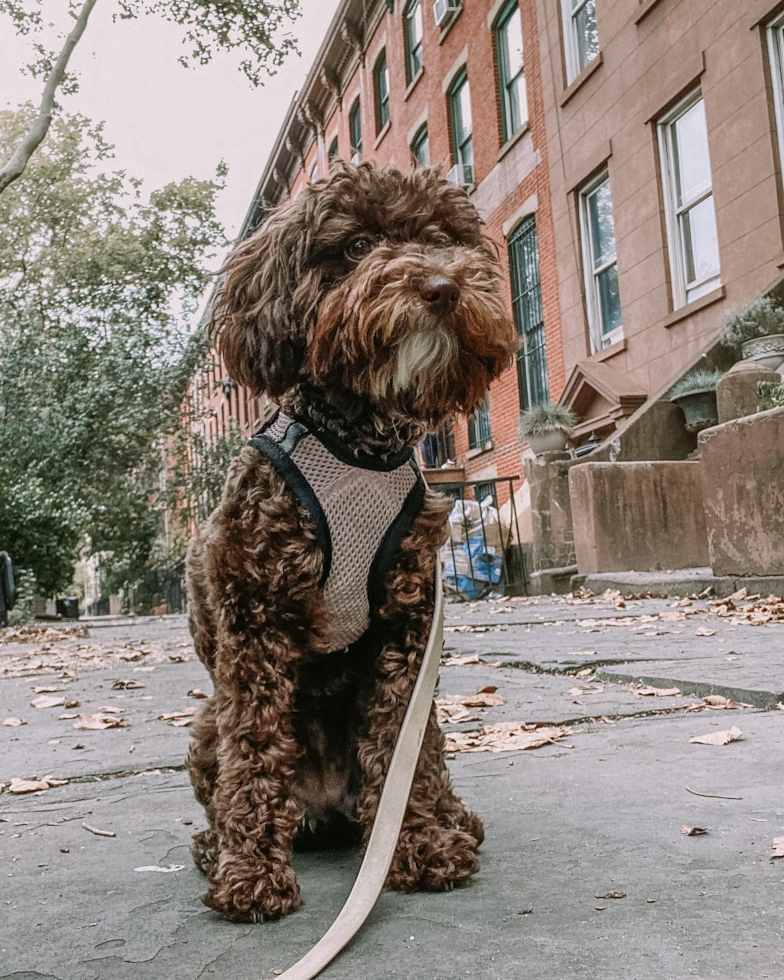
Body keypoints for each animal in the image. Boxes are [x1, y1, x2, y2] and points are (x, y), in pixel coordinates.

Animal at [186, 159, 516, 920]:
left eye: (442, 239)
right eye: (358, 245)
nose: (442, 286)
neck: (357, 443)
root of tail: (327, 811)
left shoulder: (407, 622)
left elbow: (400, 744)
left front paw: (420, 843)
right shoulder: (255, 622)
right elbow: (254, 751)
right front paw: (251, 874)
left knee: (414, 759)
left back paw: (449, 821)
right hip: (207, 723)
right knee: (239, 772)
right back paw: (219, 846)